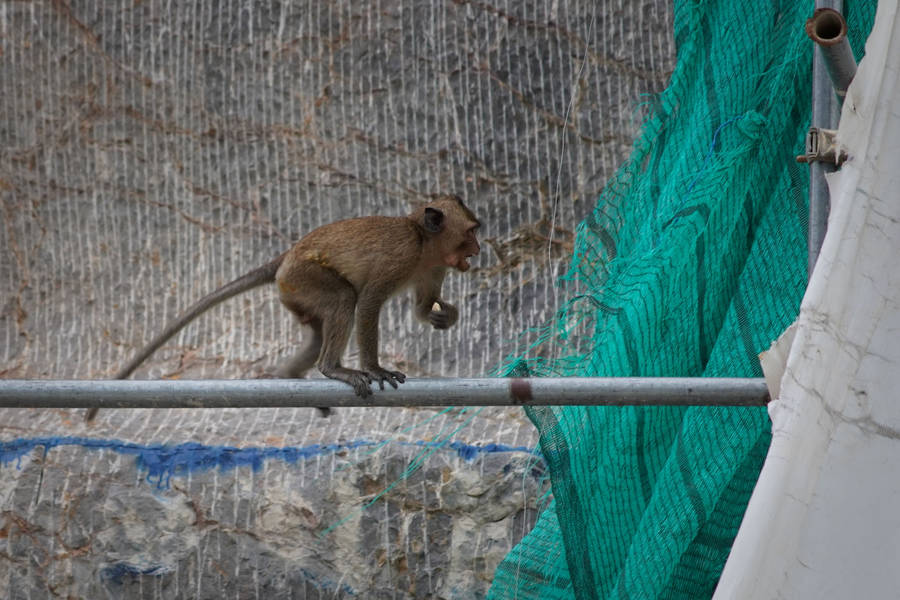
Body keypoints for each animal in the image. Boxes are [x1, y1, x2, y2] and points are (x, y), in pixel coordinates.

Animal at [85, 195, 480, 422]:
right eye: (472, 232)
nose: (477, 250)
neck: (422, 240)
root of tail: (287, 256)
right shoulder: (402, 257)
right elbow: (369, 302)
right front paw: (376, 368)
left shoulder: (435, 266)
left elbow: (420, 309)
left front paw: (444, 315)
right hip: (303, 279)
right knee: (345, 299)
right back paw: (332, 368)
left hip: (296, 294)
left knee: (318, 330)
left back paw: (289, 375)